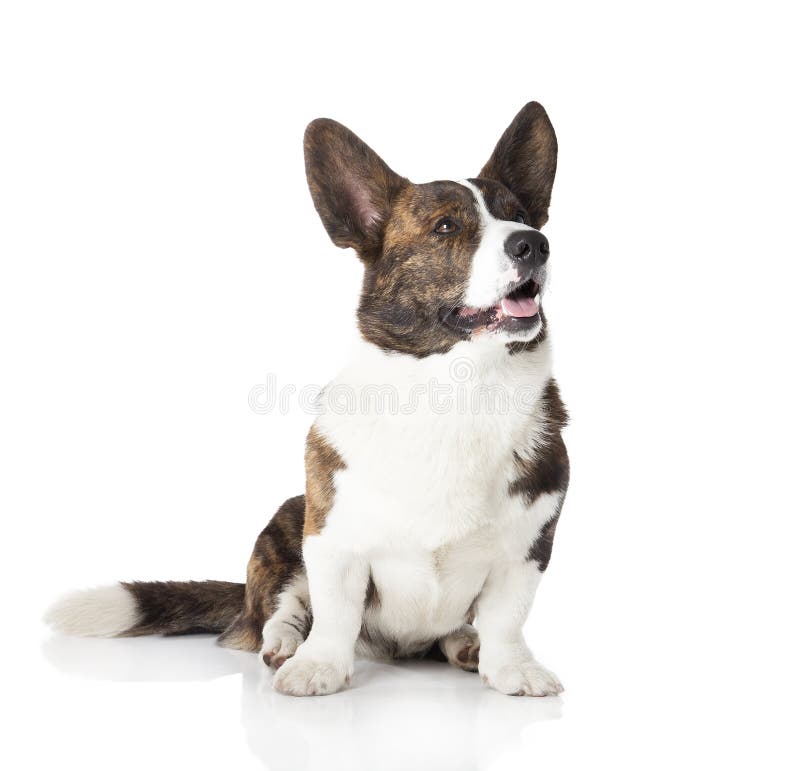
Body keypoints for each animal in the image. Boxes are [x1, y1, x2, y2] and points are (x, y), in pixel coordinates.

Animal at [47, 102, 568, 700]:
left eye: (523, 215)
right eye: (446, 226)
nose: (533, 244)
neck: (459, 387)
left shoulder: (527, 549)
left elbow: (506, 616)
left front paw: (512, 668)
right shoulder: (330, 538)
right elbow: (336, 611)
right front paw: (319, 665)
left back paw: (465, 643)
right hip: (284, 525)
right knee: (275, 610)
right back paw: (284, 643)